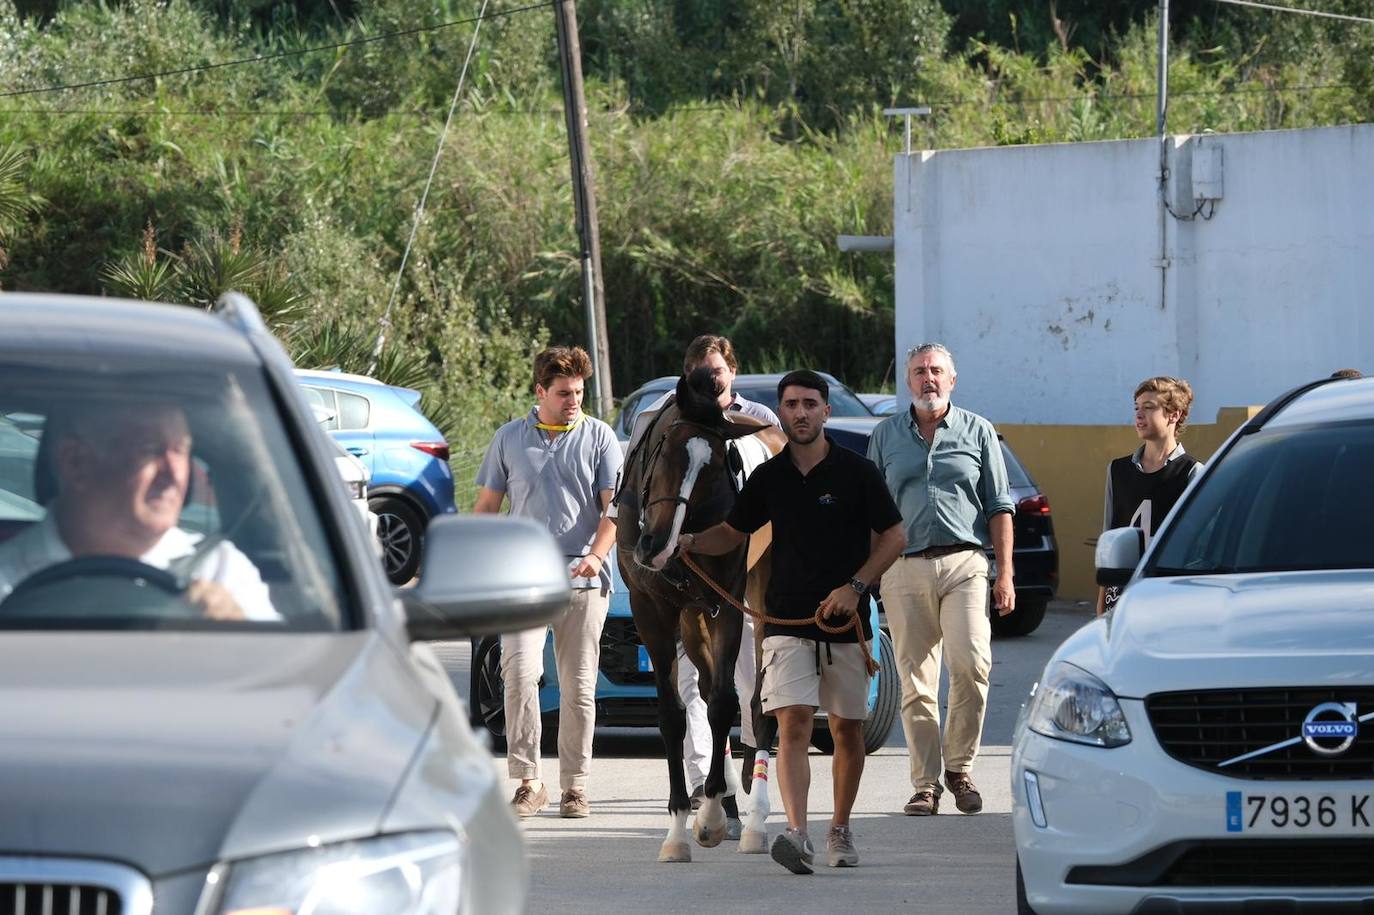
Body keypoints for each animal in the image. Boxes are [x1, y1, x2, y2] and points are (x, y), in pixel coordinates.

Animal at [621, 368, 791, 857]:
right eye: (663, 453)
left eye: (715, 468)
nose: (656, 544)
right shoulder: (652, 608)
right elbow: (673, 714)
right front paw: (680, 827)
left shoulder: (727, 603)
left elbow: (722, 705)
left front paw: (712, 815)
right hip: (692, 616)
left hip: (759, 603)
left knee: (756, 703)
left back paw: (752, 820)